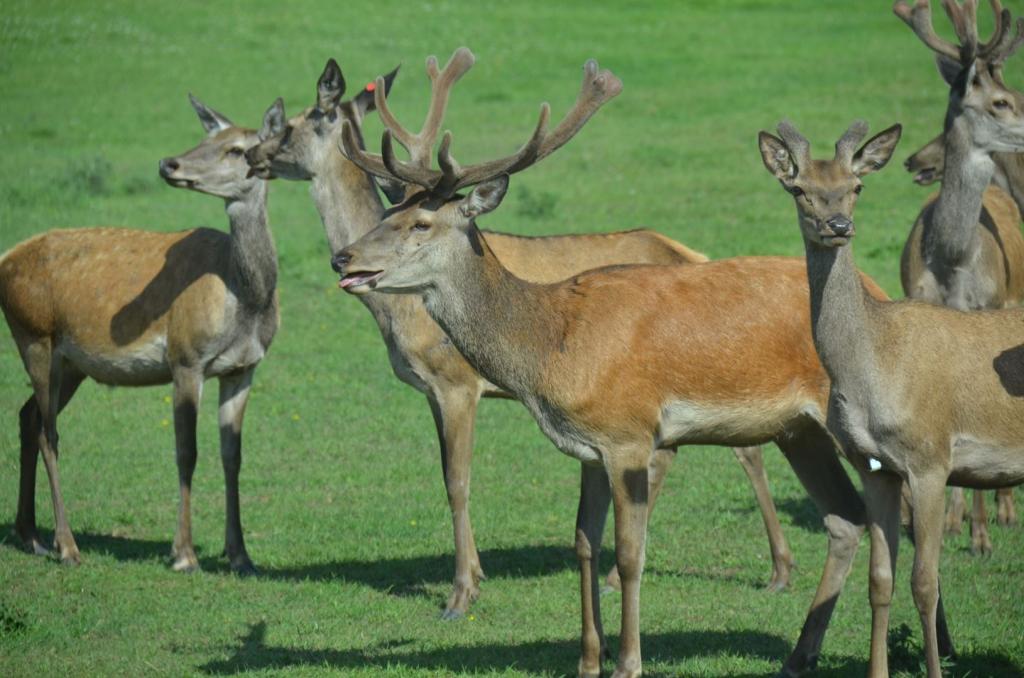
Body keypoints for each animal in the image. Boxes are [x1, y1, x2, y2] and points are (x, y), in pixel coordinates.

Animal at [0, 94, 284, 573]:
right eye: (204, 138)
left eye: (237, 149)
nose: (170, 163)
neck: (243, 304)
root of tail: (6, 258)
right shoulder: (186, 358)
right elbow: (187, 452)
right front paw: (184, 554)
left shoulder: (243, 368)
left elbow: (232, 456)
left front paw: (241, 555)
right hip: (33, 335)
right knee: (48, 431)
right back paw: (67, 545)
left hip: (70, 363)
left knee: (27, 417)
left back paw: (31, 535)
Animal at [243, 53, 794, 618]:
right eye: (390, 211)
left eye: (293, 125)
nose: (342, 258)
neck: (396, 318)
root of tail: (693, 253)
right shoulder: (432, 390)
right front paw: (475, 576)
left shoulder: (457, 382)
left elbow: (457, 480)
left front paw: (461, 593)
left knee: (735, 449)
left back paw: (774, 570)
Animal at [329, 49, 958, 678]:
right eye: (388, 212)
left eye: (421, 224)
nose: (343, 257)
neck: (551, 346)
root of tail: (877, 293)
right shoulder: (587, 445)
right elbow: (583, 542)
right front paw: (588, 658)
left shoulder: (628, 434)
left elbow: (631, 554)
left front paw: (629, 660)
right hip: (797, 431)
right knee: (846, 519)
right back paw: (801, 654)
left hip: (856, 423)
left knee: (895, 511)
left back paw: (937, 645)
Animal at [757, 119, 1024, 675]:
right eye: (799, 189)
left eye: (856, 186)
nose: (837, 224)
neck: (873, 371)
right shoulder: (874, 466)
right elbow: (880, 580)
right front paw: (877, 667)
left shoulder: (930, 458)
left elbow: (924, 583)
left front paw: (936, 666)